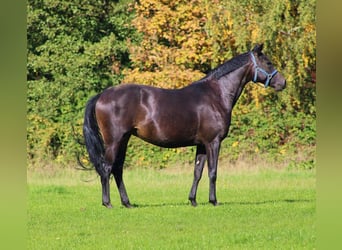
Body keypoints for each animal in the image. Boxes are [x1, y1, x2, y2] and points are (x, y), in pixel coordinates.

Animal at [82, 44, 286, 208]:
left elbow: (197, 172)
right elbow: (212, 172)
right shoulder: (213, 142)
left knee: (117, 169)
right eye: (268, 63)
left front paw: (193, 200)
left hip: (124, 140)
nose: (283, 83)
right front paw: (214, 201)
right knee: (107, 168)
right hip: (114, 141)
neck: (216, 95)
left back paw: (127, 203)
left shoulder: (202, 145)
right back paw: (107, 203)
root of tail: (102, 95)